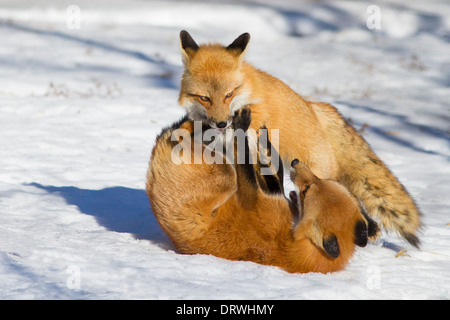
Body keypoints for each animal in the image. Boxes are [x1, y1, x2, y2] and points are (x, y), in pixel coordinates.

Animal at [147, 109, 376, 274]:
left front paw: (243, 128)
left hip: (226, 176)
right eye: (321, 180)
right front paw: (270, 151)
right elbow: (276, 179)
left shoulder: (253, 201)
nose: (295, 162)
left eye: (306, 190)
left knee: (180, 133)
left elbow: (247, 167)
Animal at [177, 30, 422, 248]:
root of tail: (315, 106)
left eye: (229, 94)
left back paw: (367, 231)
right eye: (205, 98)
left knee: (347, 196)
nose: (221, 124)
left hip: (315, 171)